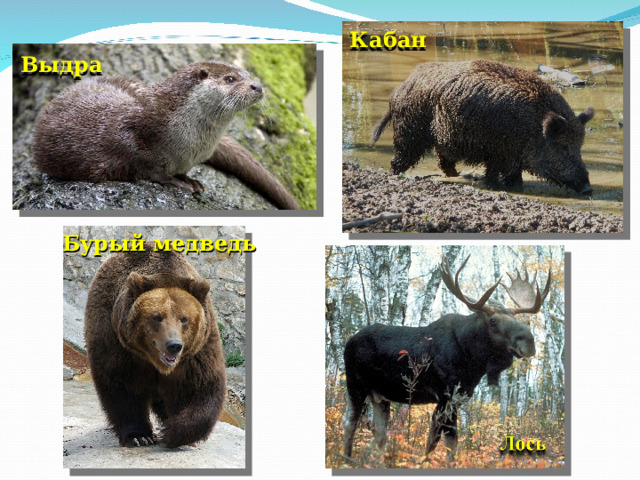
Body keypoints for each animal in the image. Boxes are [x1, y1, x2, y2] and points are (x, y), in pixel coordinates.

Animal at [84, 243, 227, 448]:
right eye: (157, 317)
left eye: (184, 319)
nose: (173, 345)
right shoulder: (117, 341)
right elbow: (121, 384)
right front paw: (139, 436)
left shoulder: (197, 350)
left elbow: (201, 386)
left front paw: (172, 431)